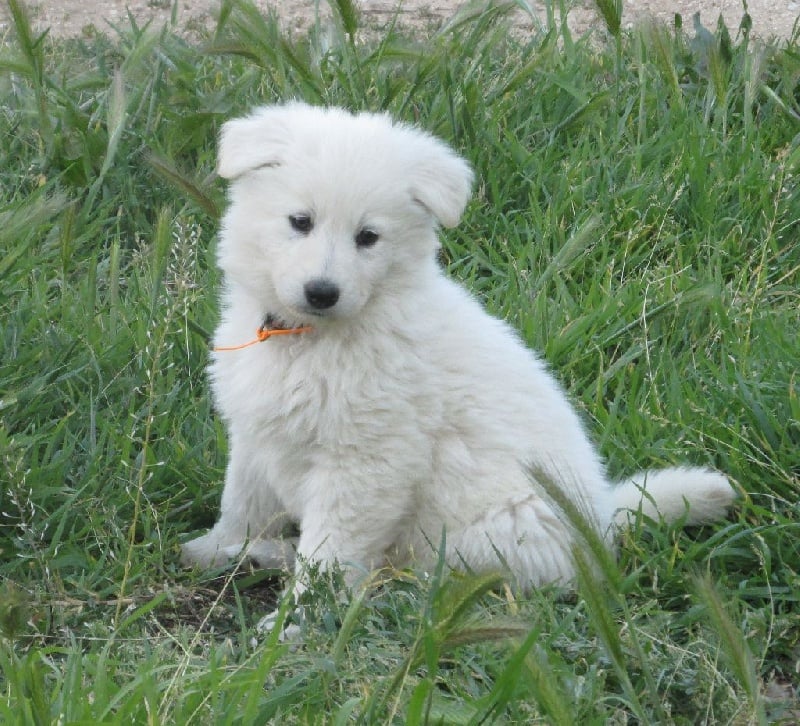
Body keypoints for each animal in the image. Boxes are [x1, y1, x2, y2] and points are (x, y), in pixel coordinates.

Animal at [183, 102, 736, 604]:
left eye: (368, 237)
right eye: (300, 221)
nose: (322, 291)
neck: (310, 339)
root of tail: (601, 525)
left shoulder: (366, 460)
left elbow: (331, 551)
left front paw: (300, 621)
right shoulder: (256, 435)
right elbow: (242, 505)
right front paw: (213, 549)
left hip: (483, 537)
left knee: (412, 576)